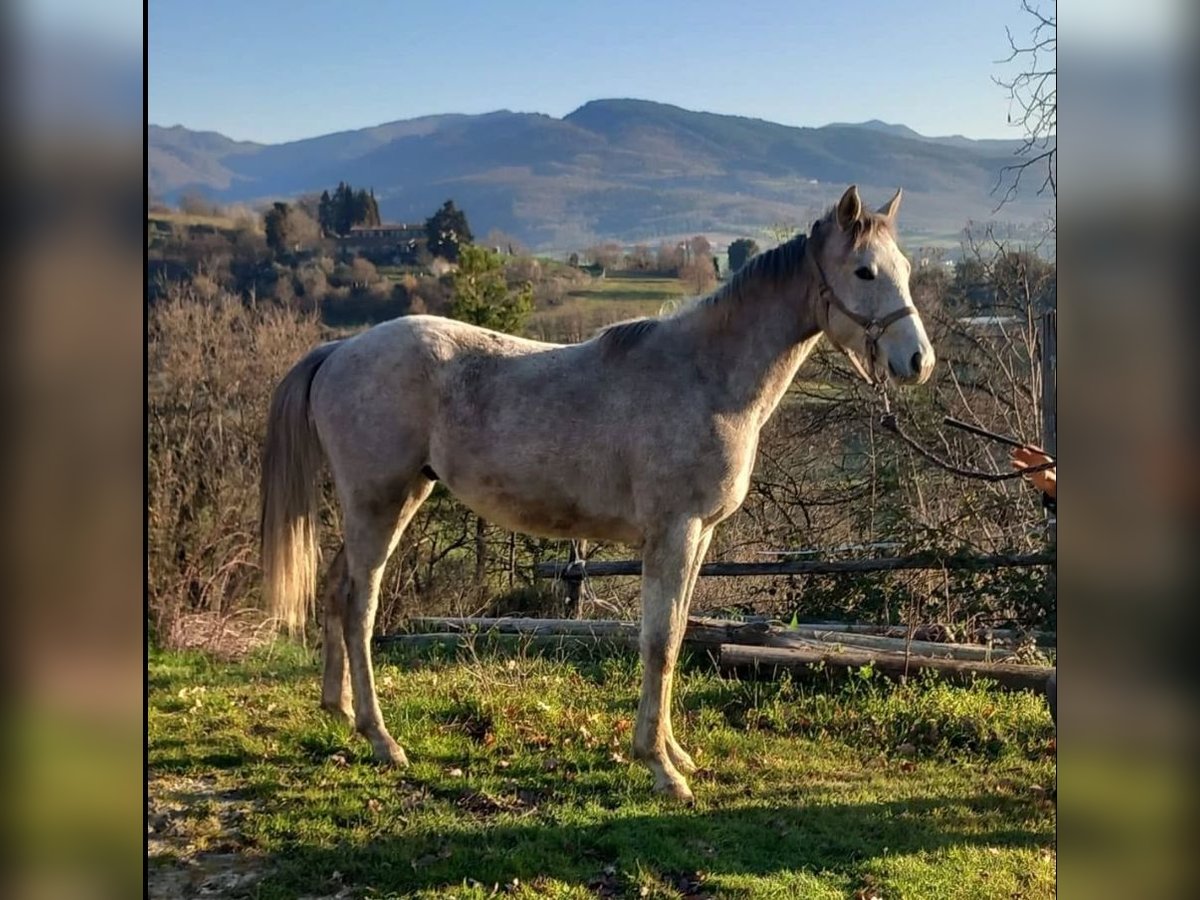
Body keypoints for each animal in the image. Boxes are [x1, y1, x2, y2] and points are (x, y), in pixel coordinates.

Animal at [262, 184, 936, 801]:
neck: (706, 376)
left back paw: (341, 712)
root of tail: (341, 349)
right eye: (864, 270)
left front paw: (674, 753)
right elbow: (658, 644)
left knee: (335, 590)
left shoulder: (698, 536)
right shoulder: (673, 532)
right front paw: (660, 769)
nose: (918, 362)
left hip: (380, 505)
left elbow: (677, 634)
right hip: (380, 503)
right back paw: (383, 739)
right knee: (360, 606)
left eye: (905, 268)